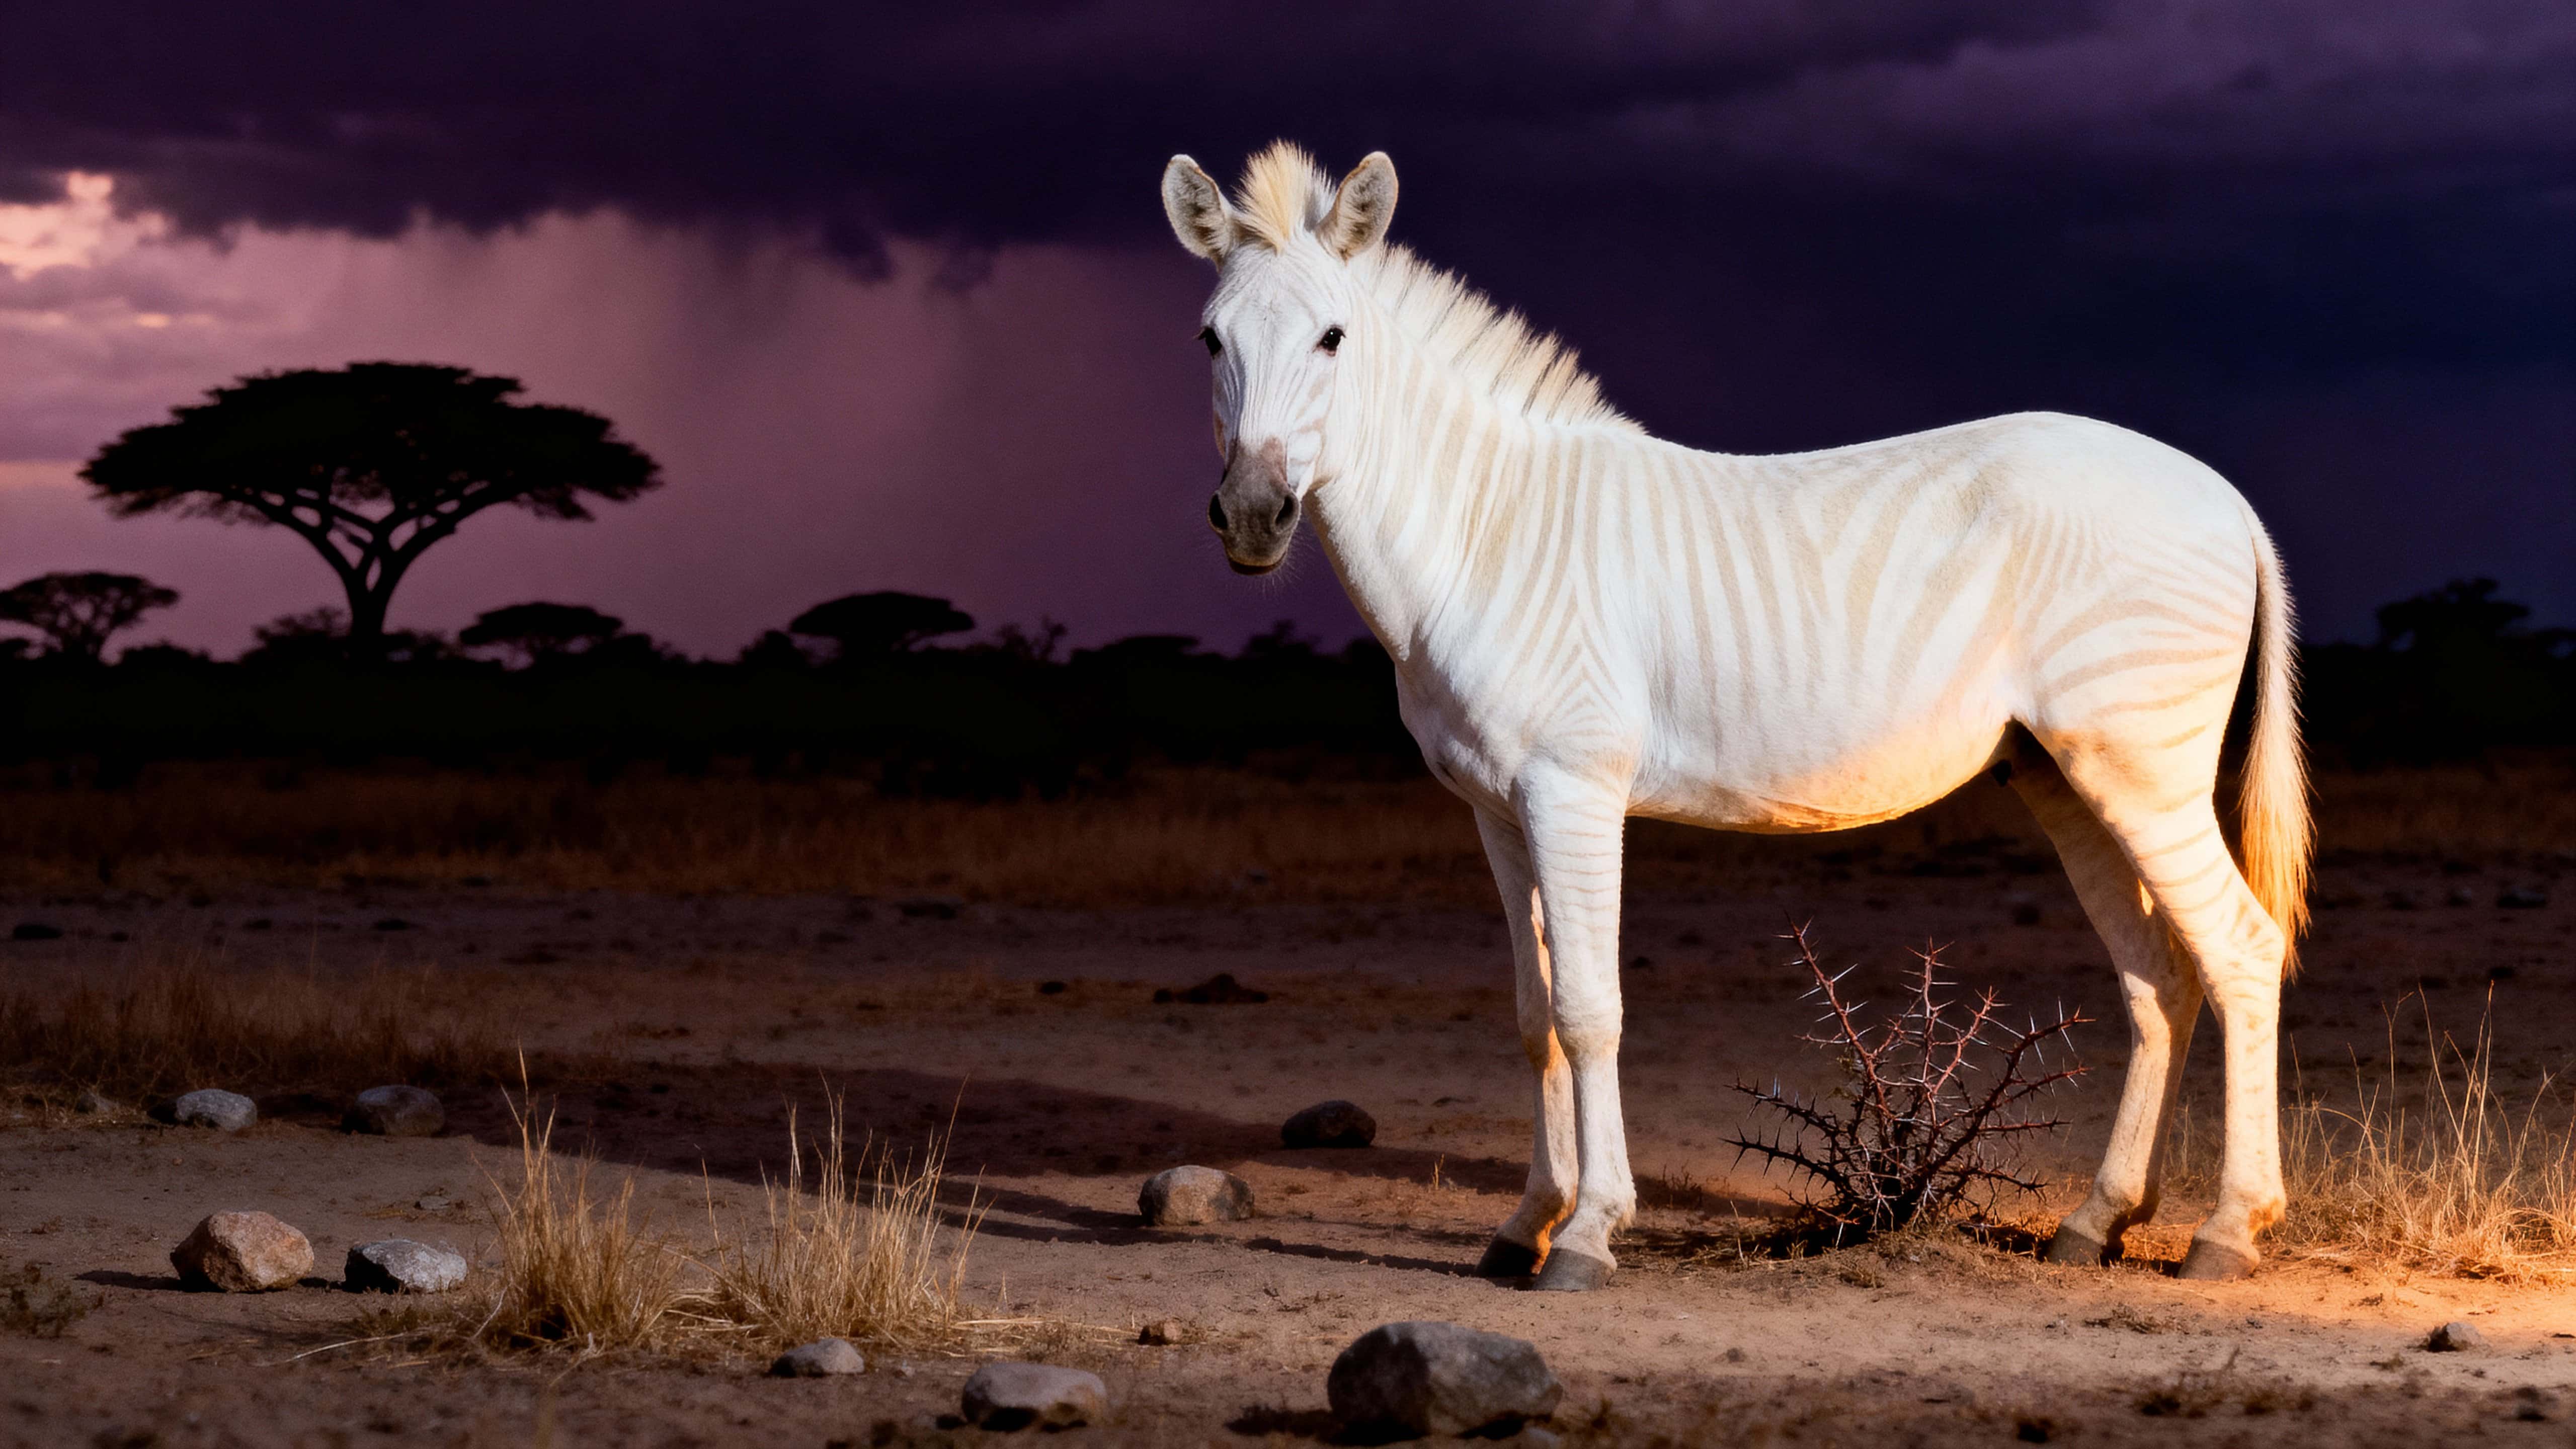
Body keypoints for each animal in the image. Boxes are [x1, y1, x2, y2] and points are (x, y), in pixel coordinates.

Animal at [1160, 143, 2311, 1289]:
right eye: (1210, 339)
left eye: (1333, 337)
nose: (1252, 519)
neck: (1487, 536)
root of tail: (2225, 495)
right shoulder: (1492, 807)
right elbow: (1535, 1017)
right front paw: (1526, 1223)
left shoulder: (1573, 789)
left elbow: (1590, 1012)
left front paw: (1589, 1234)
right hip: (2065, 772)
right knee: (2161, 974)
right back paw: (2100, 1219)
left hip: (2142, 764)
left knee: (2242, 951)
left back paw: (2227, 1230)